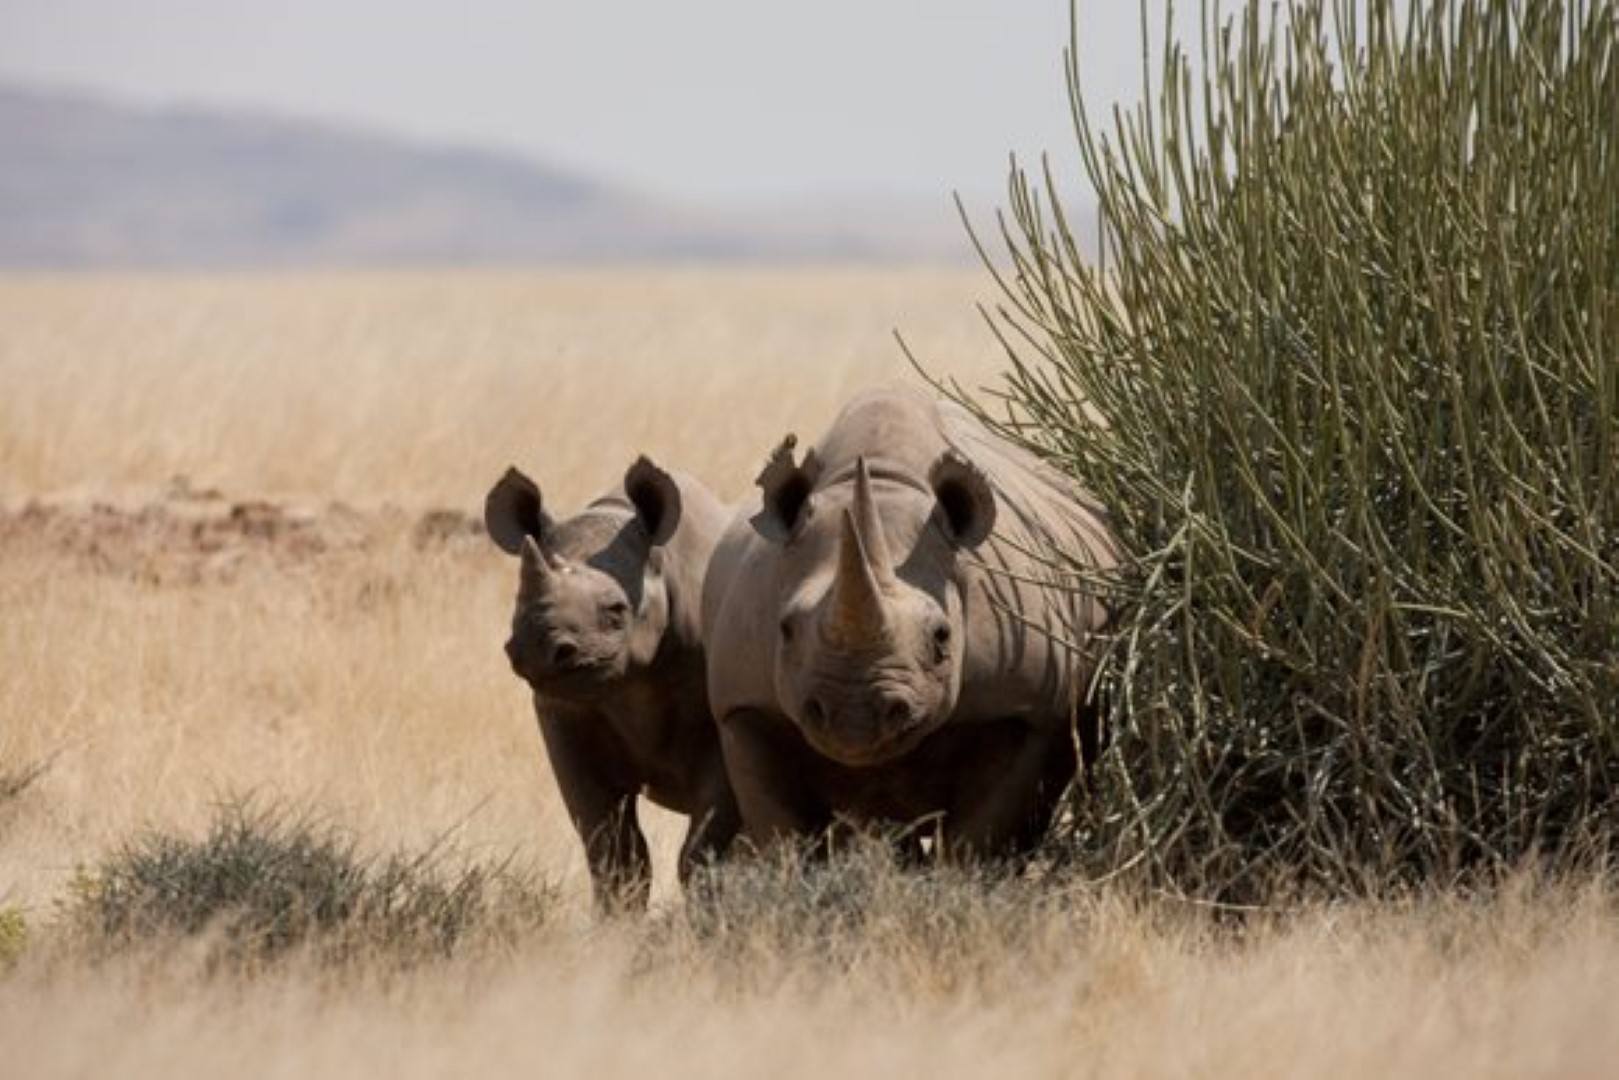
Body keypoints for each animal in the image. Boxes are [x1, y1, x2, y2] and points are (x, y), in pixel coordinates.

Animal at [485, 456, 739, 909]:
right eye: (518, 603)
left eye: (616, 609)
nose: (539, 648)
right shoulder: (566, 715)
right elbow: (613, 852)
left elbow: (703, 851)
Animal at [701, 385, 1118, 859]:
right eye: (786, 630)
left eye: (942, 636)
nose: (855, 716)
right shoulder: (744, 706)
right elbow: (784, 830)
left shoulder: (1021, 710)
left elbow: (979, 836)